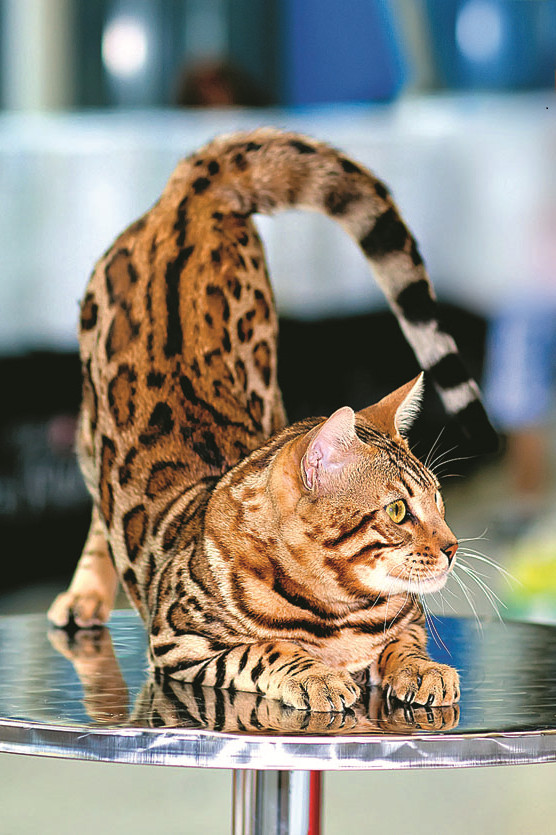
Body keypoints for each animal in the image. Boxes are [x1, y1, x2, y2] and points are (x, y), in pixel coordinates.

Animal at [48, 128, 496, 711]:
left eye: (439, 501)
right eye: (398, 511)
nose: (452, 547)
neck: (342, 607)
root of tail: (189, 194)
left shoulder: (409, 618)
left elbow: (405, 640)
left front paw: (422, 668)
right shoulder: (178, 643)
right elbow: (264, 649)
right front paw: (315, 673)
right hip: (90, 423)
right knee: (100, 509)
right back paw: (83, 594)